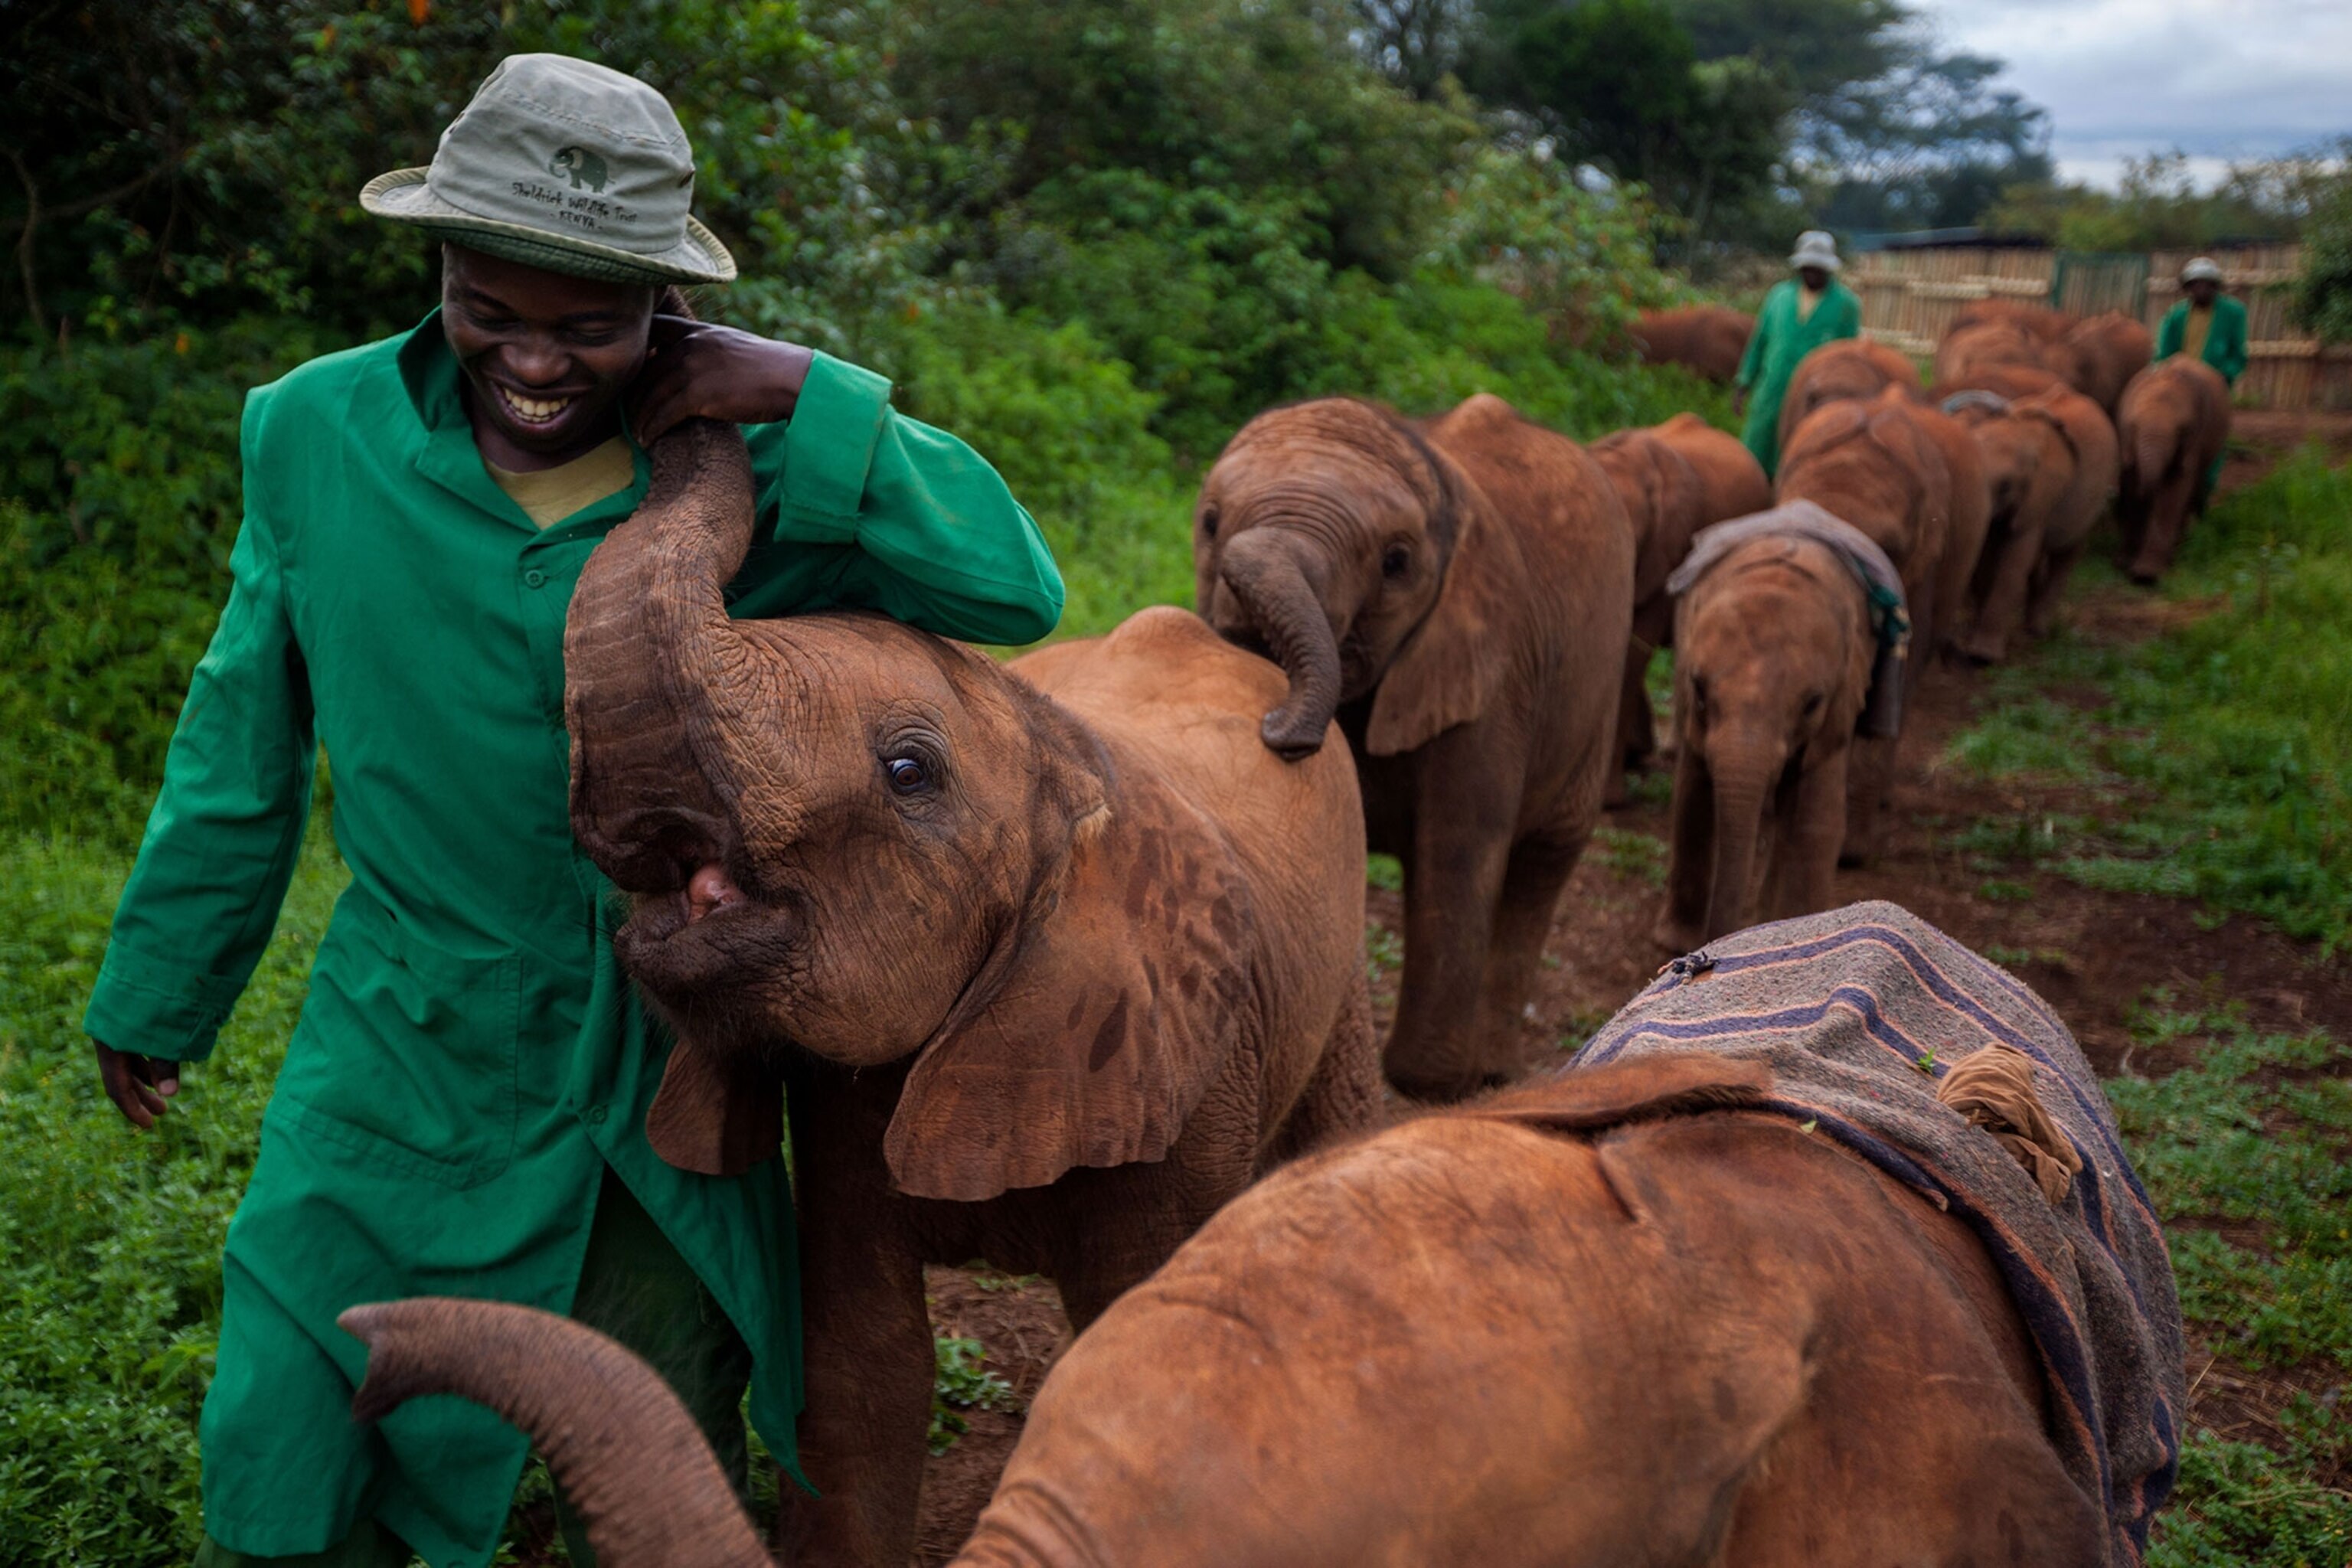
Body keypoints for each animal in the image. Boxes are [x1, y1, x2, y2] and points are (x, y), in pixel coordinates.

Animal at [1193, 394, 1635, 1100]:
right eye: (1210, 522)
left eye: (1395, 563)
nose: (1274, 726)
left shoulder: (1491, 673)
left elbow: (1457, 850)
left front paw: (1425, 1083)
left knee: (1543, 863)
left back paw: (1495, 1073)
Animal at [1651, 516, 1880, 949]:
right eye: (1699, 689)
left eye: (1812, 703)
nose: (1712, 947)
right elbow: (1693, 799)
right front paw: (1676, 944)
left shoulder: (1837, 708)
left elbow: (1814, 821)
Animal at [2116, 356, 2231, 584]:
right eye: (2133, 427)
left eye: (2181, 431)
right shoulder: (2126, 443)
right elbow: (2131, 479)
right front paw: (2126, 562)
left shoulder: (2194, 440)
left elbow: (2173, 489)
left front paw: (2146, 575)